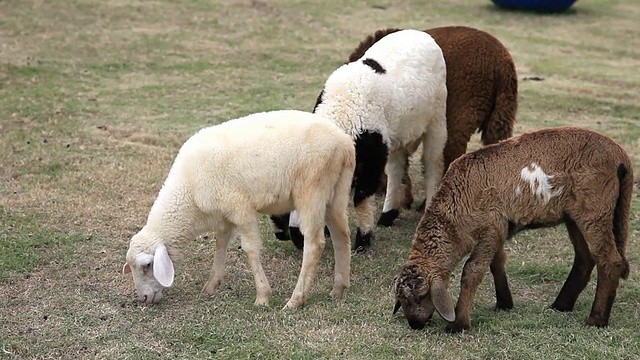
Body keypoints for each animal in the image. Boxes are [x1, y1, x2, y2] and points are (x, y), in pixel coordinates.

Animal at [120, 110, 356, 310]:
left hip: (311, 189)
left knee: (315, 243)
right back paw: (339, 288)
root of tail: (343, 143)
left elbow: (250, 249)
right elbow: (220, 246)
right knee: (341, 235)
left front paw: (262, 296)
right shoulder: (224, 214)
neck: (189, 193)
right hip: (336, 191)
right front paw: (211, 286)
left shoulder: (240, 208)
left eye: (147, 265)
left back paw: (296, 300)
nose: (144, 298)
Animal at [282, 29, 448, 252]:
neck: (343, 109)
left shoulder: (371, 159)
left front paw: (363, 240)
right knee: (396, 168)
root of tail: (421, 33)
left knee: (432, 165)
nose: (298, 240)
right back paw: (387, 215)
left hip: (437, 118)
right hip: (397, 133)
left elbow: (361, 198)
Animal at [392, 126, 632, 332]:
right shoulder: (497, 230)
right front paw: (504, 303)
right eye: (402, 300)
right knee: (585, 258)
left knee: (609, 261)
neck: (453, 218)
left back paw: (596, 319)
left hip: (595, 209)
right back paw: (562, 305)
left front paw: (459, 323)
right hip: (575, 216)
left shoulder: (490, 230)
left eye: (423, 295)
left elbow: (472, 270)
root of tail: (621, 155)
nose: (414, 324)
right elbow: (497, 264)